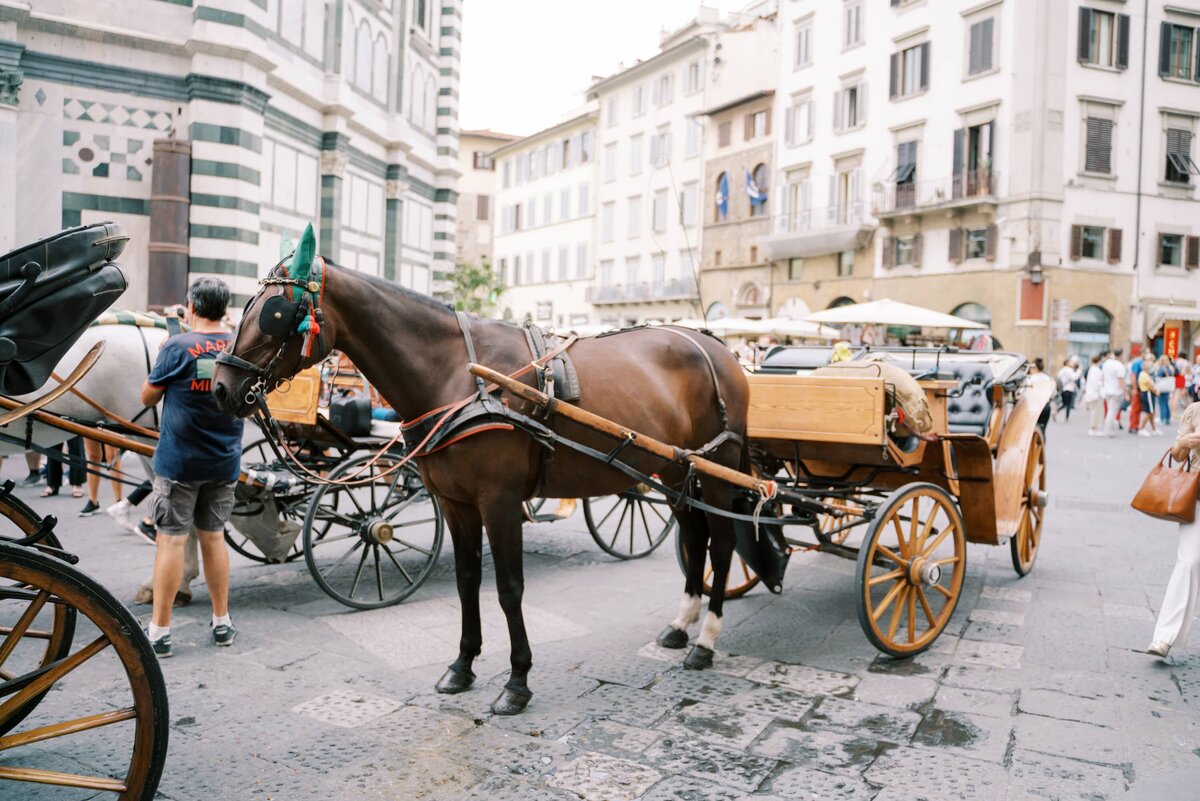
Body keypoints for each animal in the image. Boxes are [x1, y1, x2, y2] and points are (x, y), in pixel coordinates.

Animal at [211, 255, 744, 714]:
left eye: (275, 312)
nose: (219, 387)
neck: (460, 376)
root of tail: (719, 346)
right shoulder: (456, 503)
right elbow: (468, 582)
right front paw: (462, 667)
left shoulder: (499, 502)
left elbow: (508, 587)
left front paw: (517, 682)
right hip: (676, 472)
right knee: (695, 536)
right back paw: (681, 625)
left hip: (718, 470)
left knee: (722, 543)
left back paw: (706, 639)